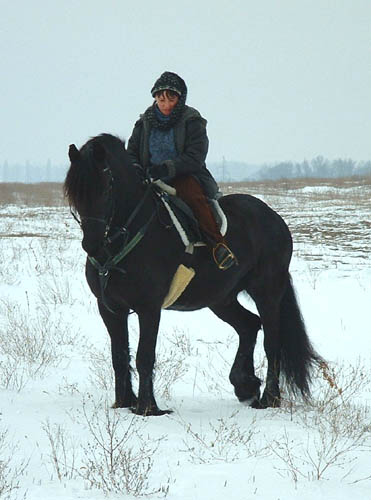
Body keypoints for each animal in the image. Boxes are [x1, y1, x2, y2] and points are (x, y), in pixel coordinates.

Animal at [64, 132, 322, 414]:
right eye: (74, 192)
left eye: (107, 188)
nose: (92, 245)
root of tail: (275, 219)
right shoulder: (110, 308)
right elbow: (119, 356)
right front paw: (123, 403)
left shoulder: (149, 308)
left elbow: (144, 356)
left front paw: (148, 408)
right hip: (221, 298)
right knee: (249, 326)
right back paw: (245, 386)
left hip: (267, 292)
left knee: (272, 341)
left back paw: (269, 399)